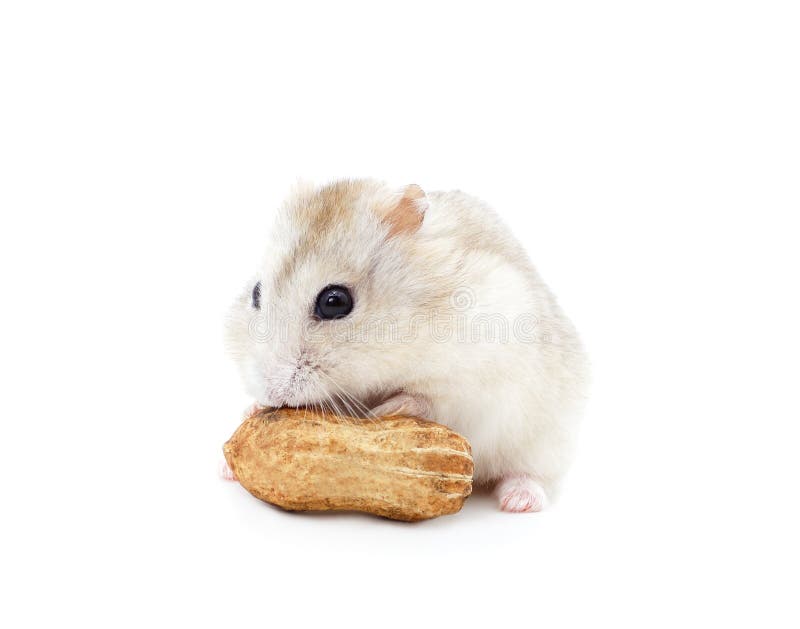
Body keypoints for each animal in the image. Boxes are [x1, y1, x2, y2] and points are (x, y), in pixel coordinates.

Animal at [225, 179, 588, 512]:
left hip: (549, 441)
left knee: (535, 476)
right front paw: (252, 410)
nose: (272, 394)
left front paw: (383, 411)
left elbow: (427, 399)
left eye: (334, 302)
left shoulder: (475, 381)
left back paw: (518, 501)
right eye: (256, 292)